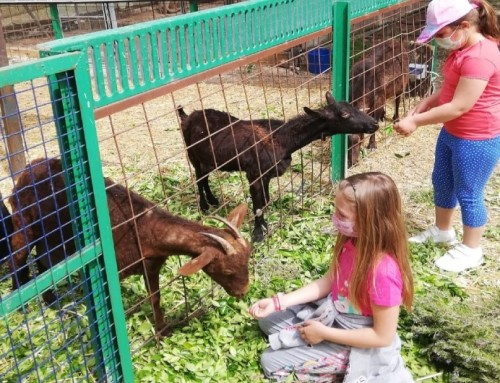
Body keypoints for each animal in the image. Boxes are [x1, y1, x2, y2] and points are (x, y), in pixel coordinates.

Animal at [10, 158, 254, 338]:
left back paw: (51, 300)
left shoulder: (151, 265)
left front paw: (162, 332)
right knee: (19, 255)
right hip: (23, 221)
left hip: (51, 235)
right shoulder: (114, 270)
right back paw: (21, 305)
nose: (243, 292)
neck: (143, 227)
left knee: (44, 260)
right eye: (227, 270)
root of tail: (29, 167)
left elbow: (155, 297)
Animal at [178, 91, 376, 242]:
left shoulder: (266, 175)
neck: (282, 139)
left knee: (205, 178)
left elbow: (265, 200)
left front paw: (266, 225)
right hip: (192, 154)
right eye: (344, 114)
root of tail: (187, 116)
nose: (374, 123)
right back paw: (204, 206)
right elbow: (257, 206)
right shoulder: (254, 174)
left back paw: (213, 200)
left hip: (208, 159)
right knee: (199, 179)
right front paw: (258, 235)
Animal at [348, 39, 410, 167]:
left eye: (359, 140)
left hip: (402, 84)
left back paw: (396, 118)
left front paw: (372, 145)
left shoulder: (378, 101)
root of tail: (396, 41)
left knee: (397, 101)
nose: (352, 163)